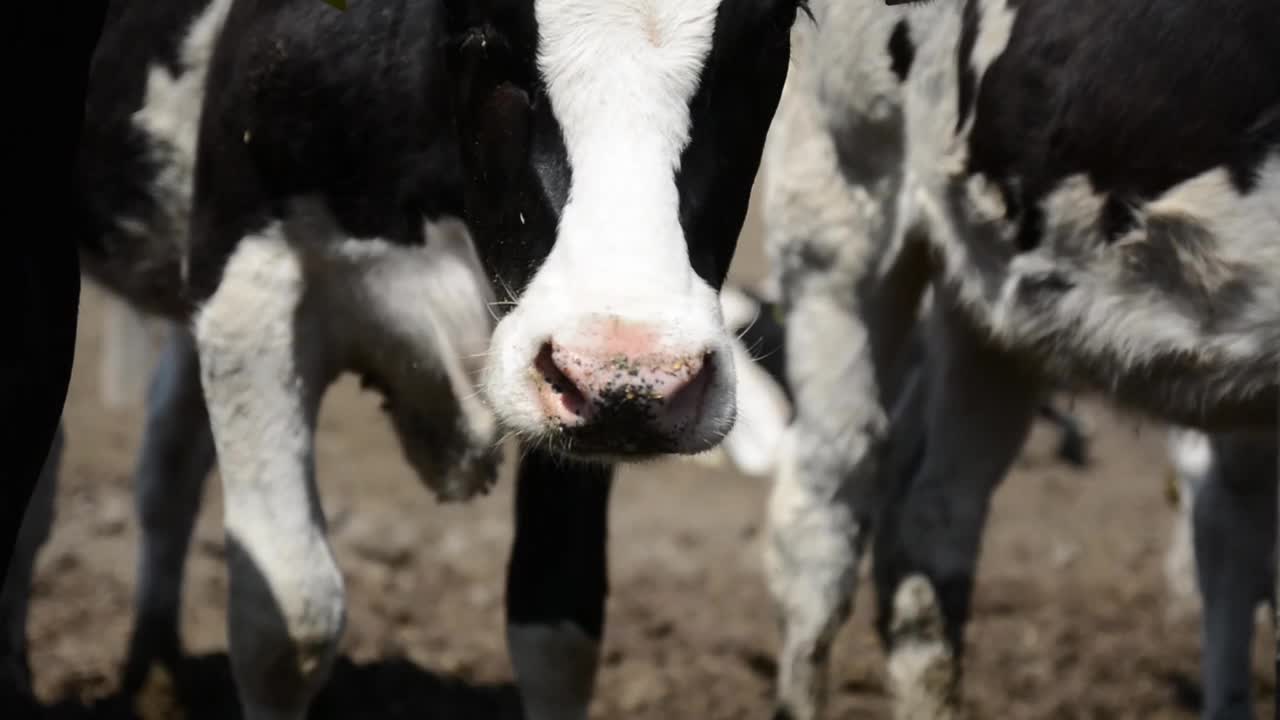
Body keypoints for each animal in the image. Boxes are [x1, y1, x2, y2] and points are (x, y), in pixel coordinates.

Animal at [5, 1, 814, 717]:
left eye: (772, 31)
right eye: (481, 30)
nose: (636, 368)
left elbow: (557, 625)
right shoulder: (247, 280)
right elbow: (287, 622)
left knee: (168, 462)